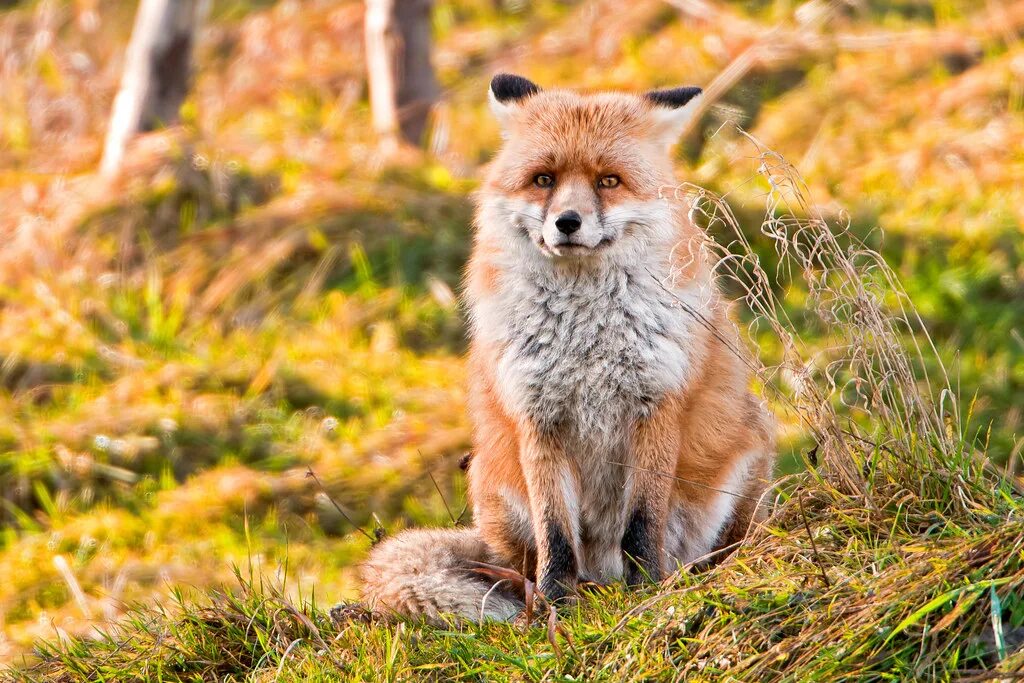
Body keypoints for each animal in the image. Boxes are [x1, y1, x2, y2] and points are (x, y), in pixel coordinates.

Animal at [360, 74, 774, 626]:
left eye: (608, 181)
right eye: (543, 179)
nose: (568, 222)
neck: (585, 337)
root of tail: (603, 575)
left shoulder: (657, 403)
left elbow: (641, 524)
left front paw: (647, 591)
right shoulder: (538, 413)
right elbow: (556, 533)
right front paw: (558, 603)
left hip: (747, 457)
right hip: (494, 488)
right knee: (523, 564)